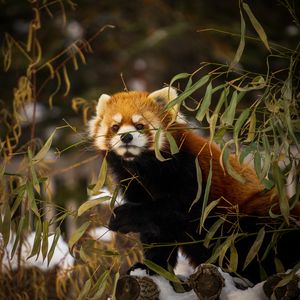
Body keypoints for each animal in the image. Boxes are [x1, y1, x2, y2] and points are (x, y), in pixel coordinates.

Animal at [89, 86, 300, 282]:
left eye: (140, 125)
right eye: (115, 127)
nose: (126, 137)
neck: (144, 167)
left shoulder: (193, 173)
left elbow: (180, 209)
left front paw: (123, 216)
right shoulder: (135, 185)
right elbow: (158, 235)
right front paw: (151, 266)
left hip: (257, 221)